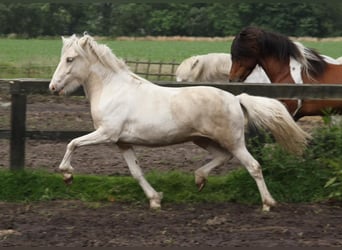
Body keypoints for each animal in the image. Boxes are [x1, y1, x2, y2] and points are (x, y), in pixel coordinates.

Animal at [50, 34, 310, 211]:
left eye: (70, 59)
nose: (53, 87)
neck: (113, 89)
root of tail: (236, 99)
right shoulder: (122, 142)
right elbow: (136, 172)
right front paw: (155, 200)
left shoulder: (106, 133)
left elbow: (72, 143)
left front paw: (67, 175)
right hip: (202, 139)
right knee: (222, 157)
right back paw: (199, 179)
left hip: (233, 141)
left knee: (253, 166)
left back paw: (267, 203)